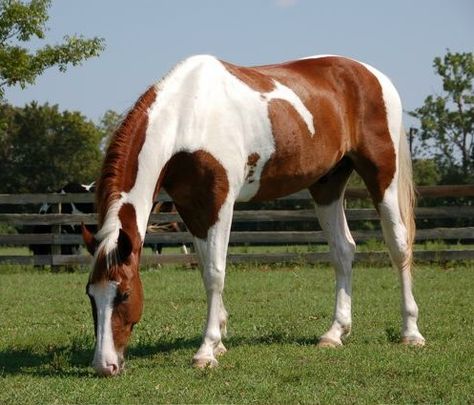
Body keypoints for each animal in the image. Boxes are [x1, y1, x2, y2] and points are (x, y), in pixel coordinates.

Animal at [81, 54, 426, 376]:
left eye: (124, 294)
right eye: (90, 295)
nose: (104, 365)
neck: (188, 114)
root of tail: (373, 75)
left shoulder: (219, 203)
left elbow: (216, 273)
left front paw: (206, 351)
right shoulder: (191, 208)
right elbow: (204, 269)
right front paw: (219, 342)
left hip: (382, 176)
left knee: (399, 246)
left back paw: (411, 333)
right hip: (327, 184)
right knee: (343, 250)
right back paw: (334, 333)